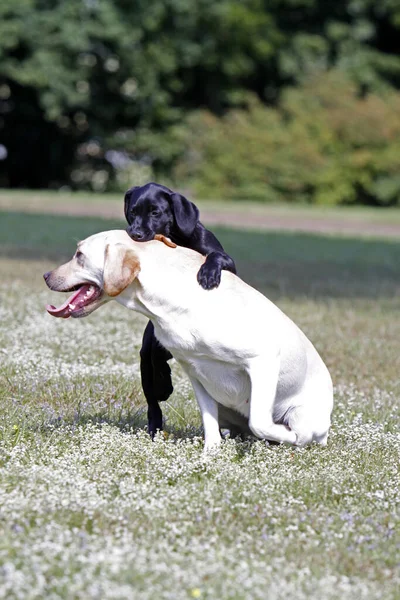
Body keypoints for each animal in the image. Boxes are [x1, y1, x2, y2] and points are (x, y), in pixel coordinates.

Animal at [124, 180, 238, 434]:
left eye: (155, 212)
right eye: (132, 212)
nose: (135, 234)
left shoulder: (228, 262)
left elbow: (216, 256)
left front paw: (208, 275)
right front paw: (164, 384)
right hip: (146, 355)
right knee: (153, 396)